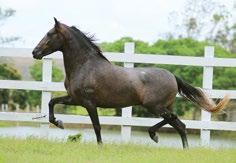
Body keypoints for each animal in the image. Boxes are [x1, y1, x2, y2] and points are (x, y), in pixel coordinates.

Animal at [32, 18, 230, 149]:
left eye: (50, 34)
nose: (35, 52)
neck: (85, 65)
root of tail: (173, 76)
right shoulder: (75, 99)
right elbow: (51, 102)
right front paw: (58, 122)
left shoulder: (88, 103)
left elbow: (96, 126)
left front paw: (100, 146)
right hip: (162, 106)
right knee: (179, 124)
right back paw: (174, 144)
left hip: (154, 106)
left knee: (174, 120)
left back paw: (156, 136)